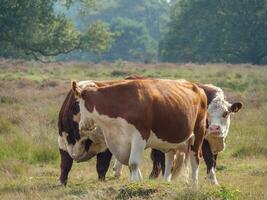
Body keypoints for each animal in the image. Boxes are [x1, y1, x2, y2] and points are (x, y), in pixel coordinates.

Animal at [73, 78, 209, 186]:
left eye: (78, 104)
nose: (81, 126)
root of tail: (199, 88)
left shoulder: (140, 136)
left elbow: (133, 163)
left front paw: (134, 183)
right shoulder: (121, 140)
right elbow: (130, 164)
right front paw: (136, 180)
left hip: (198, 133)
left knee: (195, 158)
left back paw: (194, 184)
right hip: (171, 141)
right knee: (170, 159)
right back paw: (166, 182)